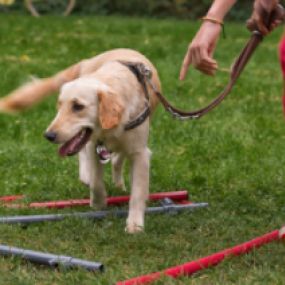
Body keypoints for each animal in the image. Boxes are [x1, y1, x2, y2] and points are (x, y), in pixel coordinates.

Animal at [0, 48, 160, 232]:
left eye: (78, 106)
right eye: (59, 105)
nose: (49, 135)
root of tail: (87, 61)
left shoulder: (140, 153)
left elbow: (138, 192)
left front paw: (134, 224)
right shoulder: (95, 145)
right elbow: (96, 181)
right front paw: (98, 203)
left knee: (117, 159)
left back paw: (118, 184)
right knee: (84, 153)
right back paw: (87, 176)